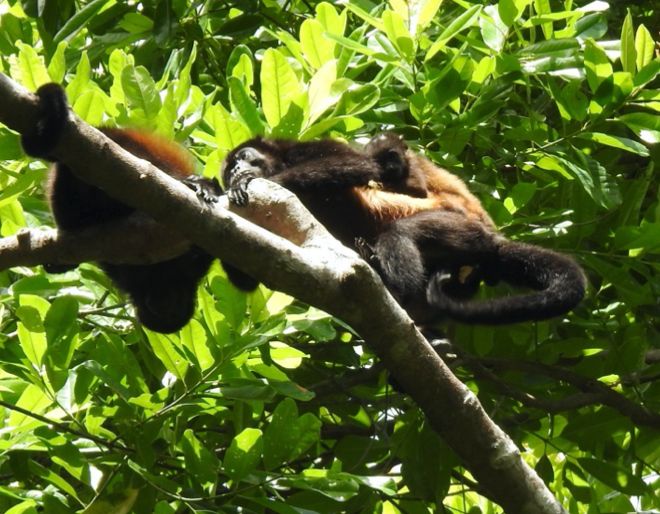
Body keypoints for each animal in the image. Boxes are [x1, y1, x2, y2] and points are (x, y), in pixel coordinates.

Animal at [224, 133, 584, 324]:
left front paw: (256, 180)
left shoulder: (307, 147)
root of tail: (494, 240)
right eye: (228, 168)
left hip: (462, 228)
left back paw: (398, 289)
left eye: (243, 156)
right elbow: (250, 275)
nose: (235, 170)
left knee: (398, 235)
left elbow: (356, 165)